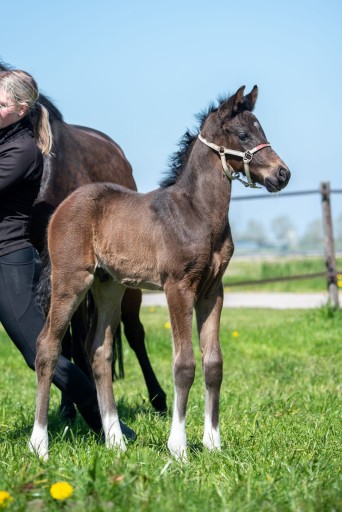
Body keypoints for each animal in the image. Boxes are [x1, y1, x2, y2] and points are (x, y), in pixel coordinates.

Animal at [30, 86, 292, 458]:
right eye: (243, 134)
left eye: (262, 130)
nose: (282, 174)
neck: (198, 213)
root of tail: (61, 208)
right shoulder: (177, 287)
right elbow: (184, 365)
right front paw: (178, 446)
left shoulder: (213, 291)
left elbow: (214, 363)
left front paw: (213, 443)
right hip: (70, 281)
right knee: (47, 347)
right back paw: (40, 443)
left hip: (109, 286)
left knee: (99, 352)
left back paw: (115, 440)